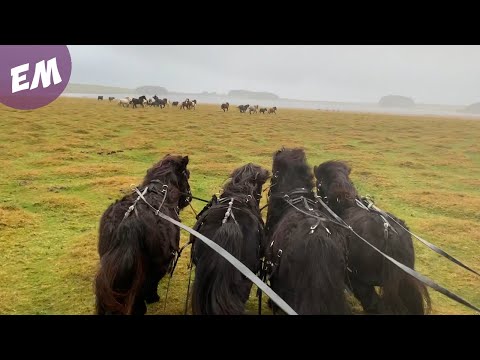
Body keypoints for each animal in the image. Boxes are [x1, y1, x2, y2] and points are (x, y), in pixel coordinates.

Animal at [94, 155, 192, 316]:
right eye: (187, 174)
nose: (189, 197)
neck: (163, 190)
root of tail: (129, 224)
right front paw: (153, 298)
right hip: (156, 267)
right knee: (143, 289)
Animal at [316, 161, 432, 316]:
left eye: (317, 186)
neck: (344, 205)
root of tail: (389, 235)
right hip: (403, 282)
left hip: (362, 283)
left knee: (374, 306)